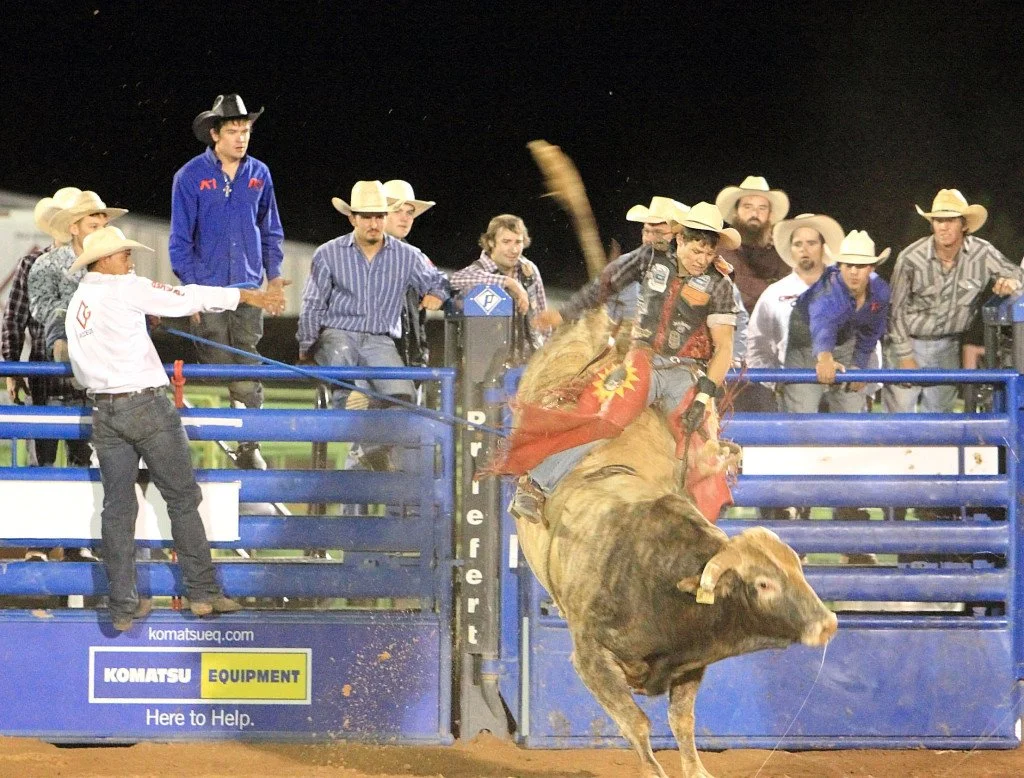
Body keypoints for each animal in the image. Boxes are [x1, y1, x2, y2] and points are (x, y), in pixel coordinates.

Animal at [510, 310, 838, 778]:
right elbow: (636, 724)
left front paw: (697, 769)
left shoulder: (690, 664)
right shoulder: (589, 658)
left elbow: (682, 721)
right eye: (763, 585)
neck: (655, 576)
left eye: (798, 570)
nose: (827, 623)